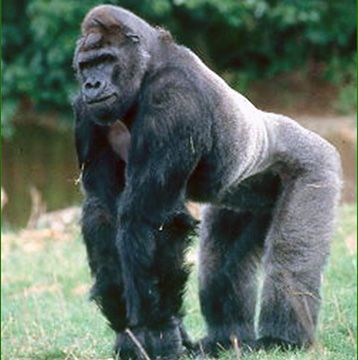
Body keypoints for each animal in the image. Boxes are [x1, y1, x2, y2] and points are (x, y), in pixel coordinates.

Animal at [72, 4, 342, 358]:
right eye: (86, 65)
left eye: (106, 59)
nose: (91, 83)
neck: (148, 65)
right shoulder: (86, 111)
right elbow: (103, 212)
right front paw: (130, 333)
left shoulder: (174, 100)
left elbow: (150, 220)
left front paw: (158, 332)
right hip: (245, 194)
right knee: (222, 259)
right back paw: (227, 337)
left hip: (316, 166)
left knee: (290, 255)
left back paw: (283, 338)